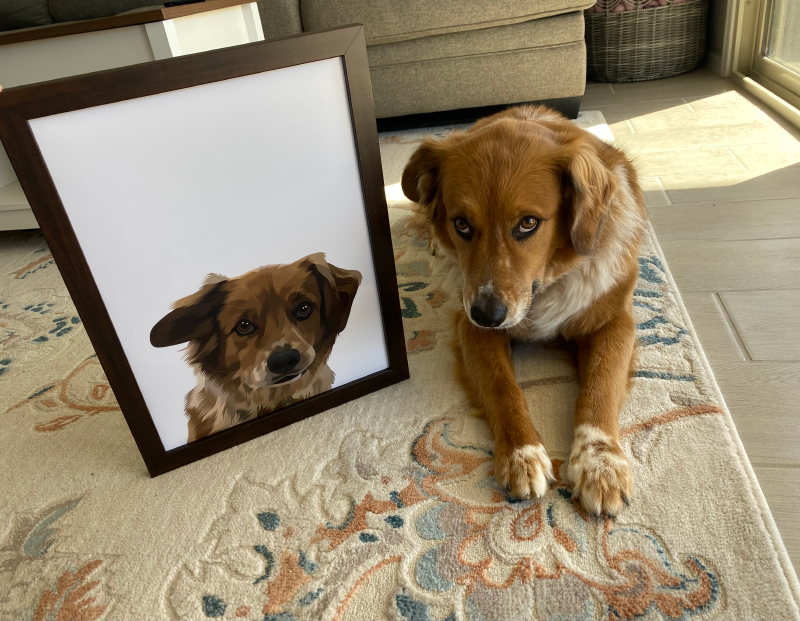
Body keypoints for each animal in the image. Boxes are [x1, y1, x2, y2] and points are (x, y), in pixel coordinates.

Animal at [404, 105, 648, 512]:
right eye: (461, 224)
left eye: (528, 223)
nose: (487, 315)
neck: (546, 283)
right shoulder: (472, 330)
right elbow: (503, 387)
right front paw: (521, 453)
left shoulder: (615, 321)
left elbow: (600, 385)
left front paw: (601, 462)